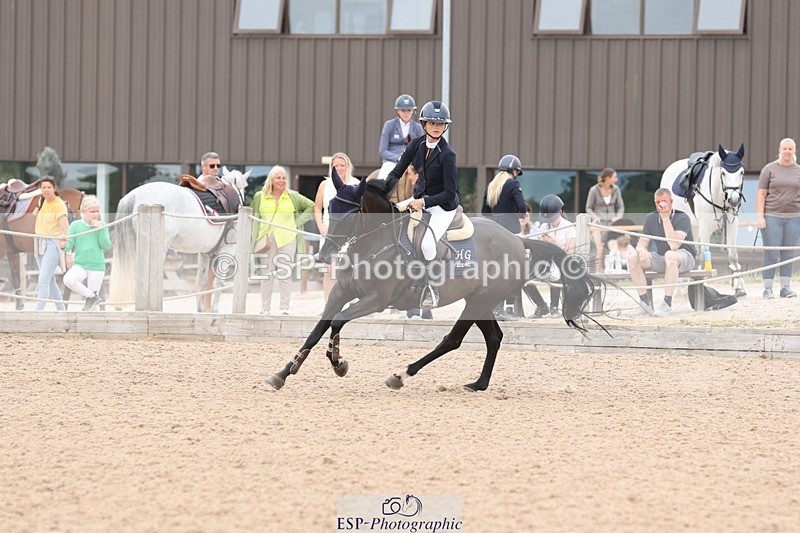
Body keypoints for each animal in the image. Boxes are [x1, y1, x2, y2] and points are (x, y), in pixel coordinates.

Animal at [109, 168, 249, 312]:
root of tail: (133, 196)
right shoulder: (228, 249)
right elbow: (219, 282)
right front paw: (215, 310)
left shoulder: (204, 253)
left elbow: (202, 281)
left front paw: (200, 310)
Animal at [265, 170, 602, 391]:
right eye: (330, 207)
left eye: (353, 212)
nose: (324, 254)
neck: (373, 244)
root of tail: (518, 241)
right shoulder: (340, 292)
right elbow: (317, 329)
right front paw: (283, 373)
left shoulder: (376, 301)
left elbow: (337, 322)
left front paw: (338, 363)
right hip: (480, 301)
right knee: (494, 337)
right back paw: (478, 384)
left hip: (478, 301)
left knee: (453, 340)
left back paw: (401, 375)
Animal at [660, 144, 746, 297]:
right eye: (723, 173)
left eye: (741, 172)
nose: (734, 200)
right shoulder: (704, 225)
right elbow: (704, 252)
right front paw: (702, 282)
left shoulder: (732, 223)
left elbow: (733, 255)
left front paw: (738, 288)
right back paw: (681, 286)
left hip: (693, 226)